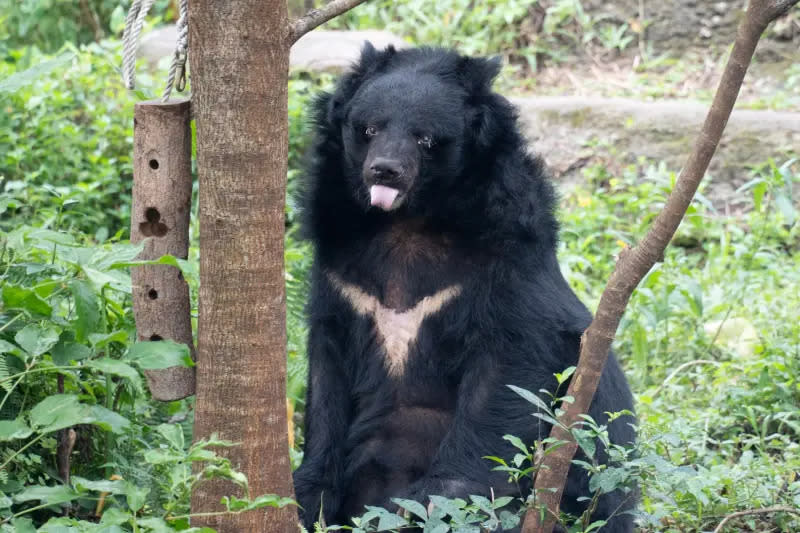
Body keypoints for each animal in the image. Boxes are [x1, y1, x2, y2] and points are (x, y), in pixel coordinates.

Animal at [294, 43, 636, 528]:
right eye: (369, 129)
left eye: (425, 139)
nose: (384, 171)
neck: (406, 222)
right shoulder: (341, 276)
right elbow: (327, 377)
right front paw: (309, 494)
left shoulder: (505, 263)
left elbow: (505, 373)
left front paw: (438, 500)